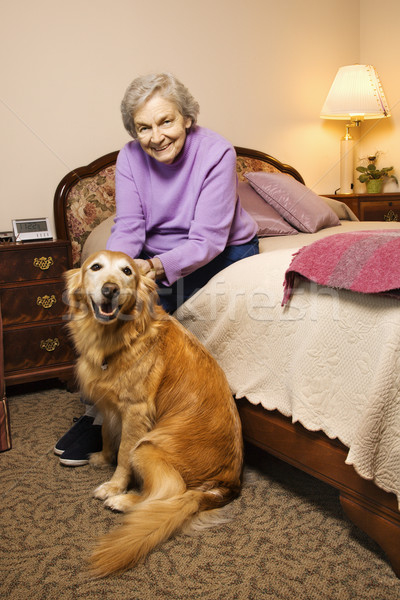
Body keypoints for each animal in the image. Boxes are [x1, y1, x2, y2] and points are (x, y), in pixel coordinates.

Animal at [64, 250, 242, 576]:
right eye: (95, 267)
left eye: (127, 271)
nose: (110, 290)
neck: (119, 336)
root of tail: (226, 486)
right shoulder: (110, 403)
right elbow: (107, 434)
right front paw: (102, 457)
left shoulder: (136, 412)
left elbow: (122, 455)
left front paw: (114, 486)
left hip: (147, 448)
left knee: (165, 496)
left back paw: (124, 500)